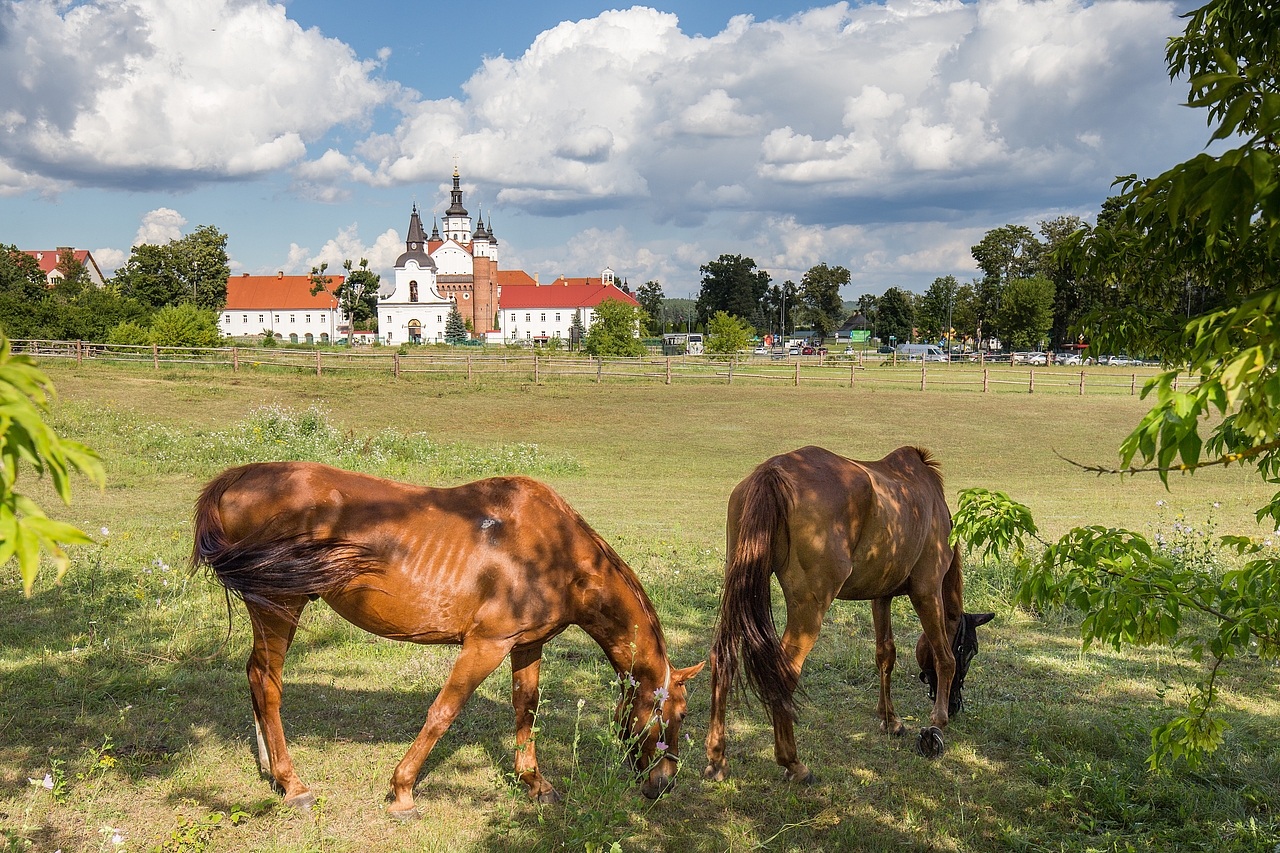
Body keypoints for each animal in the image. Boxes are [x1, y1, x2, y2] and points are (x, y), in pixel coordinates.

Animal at [194, 461, 706, 814]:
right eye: (677, 714)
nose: (664, 784)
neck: (555, 552)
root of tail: (238, 477)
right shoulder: (487, 645)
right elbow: (443, 711)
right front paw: (402, 791)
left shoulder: (527, 644)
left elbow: (526, 709)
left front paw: (534, 783)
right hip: (277, 605)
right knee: (267, 682)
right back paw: (293, 784)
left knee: (256, 677)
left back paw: (271, 771)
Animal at [706, 440, 993, 778]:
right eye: (969, 650)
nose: (956, 705)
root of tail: (772, 471)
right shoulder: (927, 591)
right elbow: (943, 658)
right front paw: (937, 725)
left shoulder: (881, 596)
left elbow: (885, 654)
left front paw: (890, 720)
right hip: (810, 607)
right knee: (784, 671)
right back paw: (792, 762)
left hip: (740, 589)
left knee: (723, 657)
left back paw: (716, 757)